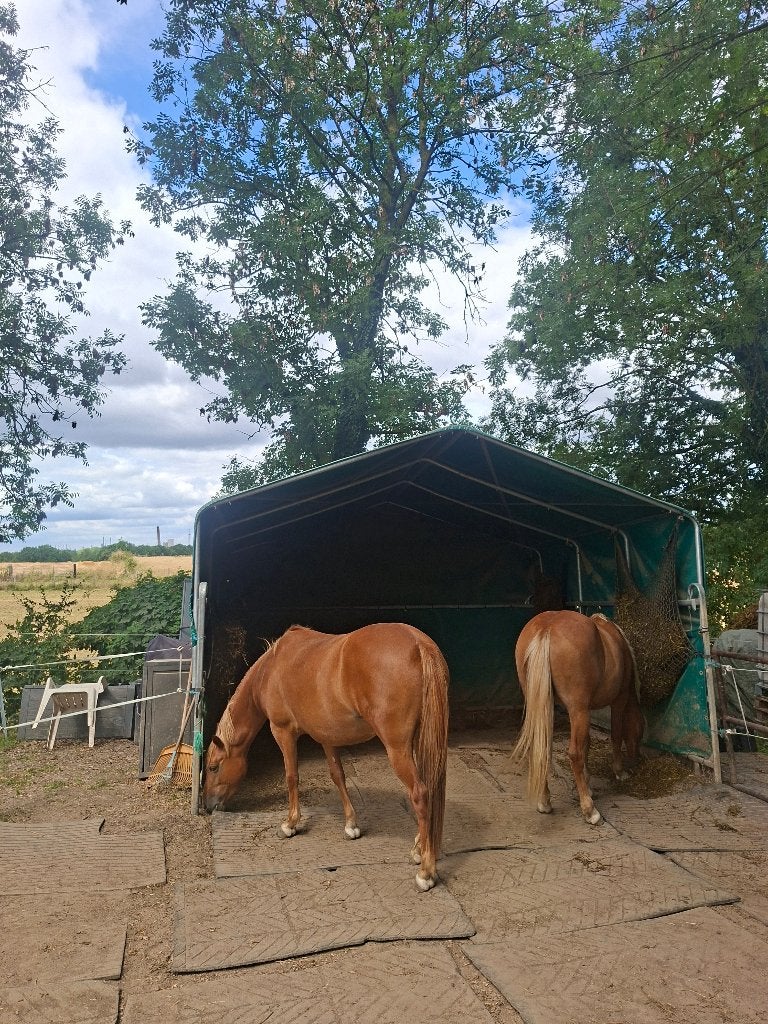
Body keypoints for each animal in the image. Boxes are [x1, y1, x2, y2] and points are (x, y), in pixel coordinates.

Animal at [202, 622, 450, 891]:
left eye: (214, 767)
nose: (208, 805)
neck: (270, 669)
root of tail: (418, 643)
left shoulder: (283, 731)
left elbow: (291, 776)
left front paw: (290, 824)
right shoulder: (327, 737)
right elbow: (338, 776)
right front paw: (351, 825)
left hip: (398, 748)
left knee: (420, 794)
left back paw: (425, 872)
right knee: (430, 790)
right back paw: (419, 848)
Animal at [512, 609, 645, 825]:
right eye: (640, 730)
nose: (638, 758)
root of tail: (547, 627)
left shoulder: (586, 710)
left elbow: (587, 743)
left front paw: (588, 781)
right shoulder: (618, 701)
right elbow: (615, 736)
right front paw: (619, 772)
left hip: (548, 706)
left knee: (542, 748)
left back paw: (545, 802)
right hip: (577, 709)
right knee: (573, 753)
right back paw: (590, 811)